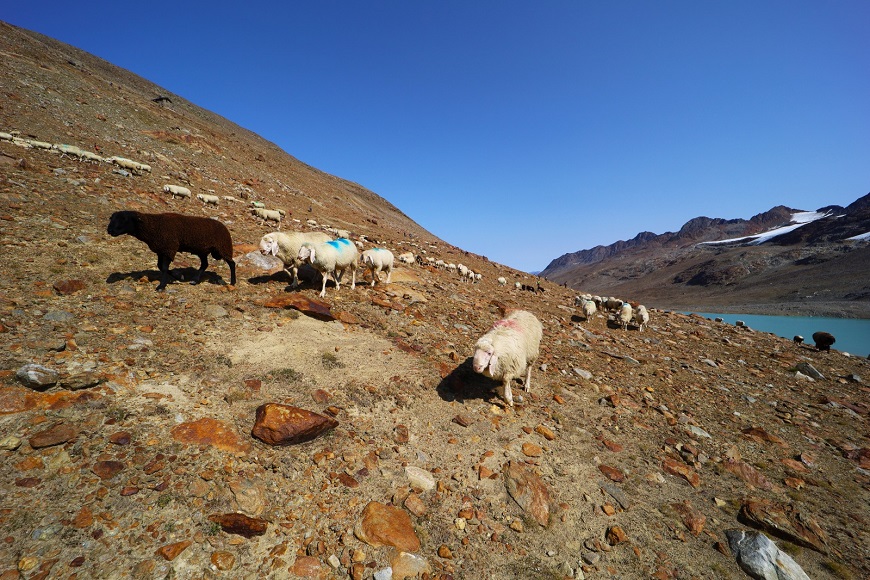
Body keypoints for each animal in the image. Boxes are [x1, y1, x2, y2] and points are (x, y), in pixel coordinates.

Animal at [107, 211, 236, 291]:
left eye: (124, 219)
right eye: (111, 218)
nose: (110, 230)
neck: (153, 226)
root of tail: (224, 226)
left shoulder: (170, 248)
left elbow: (164, 268)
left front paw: (161, 286)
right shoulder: (161, 250)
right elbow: (160, 266)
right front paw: (179, 276)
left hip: (223, 247)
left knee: (231, 263)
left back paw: (233, 282)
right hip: (202, 250)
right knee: (204, 264)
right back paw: (194, 280)